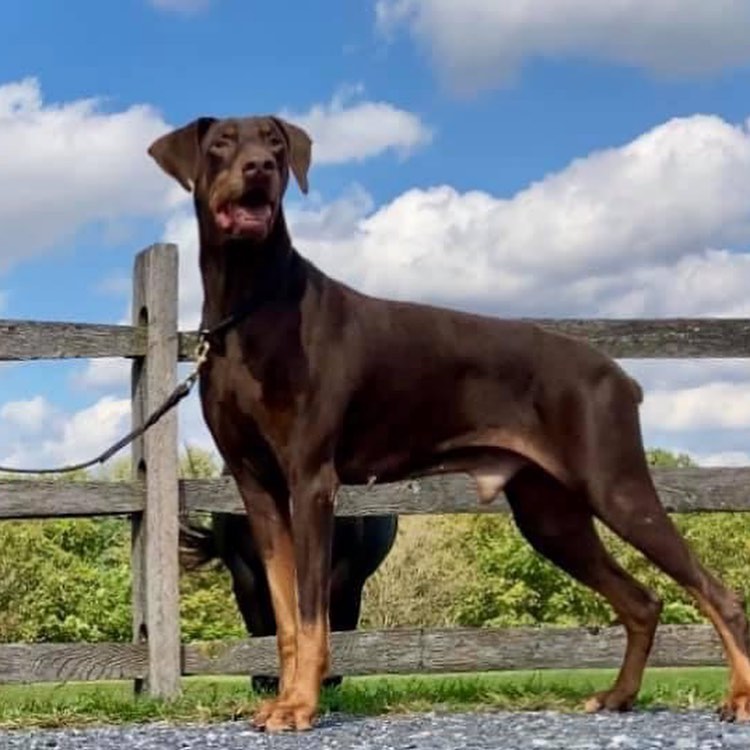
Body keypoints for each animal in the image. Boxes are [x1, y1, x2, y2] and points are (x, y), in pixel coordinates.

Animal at [150, 116, 750, 736]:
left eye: (273, 143)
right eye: (221, 143)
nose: (260, 168)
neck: (251, 305)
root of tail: (620, 376)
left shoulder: (311, 480)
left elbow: (313, 613)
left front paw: (300, 706)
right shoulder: (258, 488)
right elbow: (288, 616)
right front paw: (284, 700)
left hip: (615, 485)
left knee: (718, 593)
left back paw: (739, 697)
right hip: (550, 515)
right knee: (642, 601)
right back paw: (618, 695)